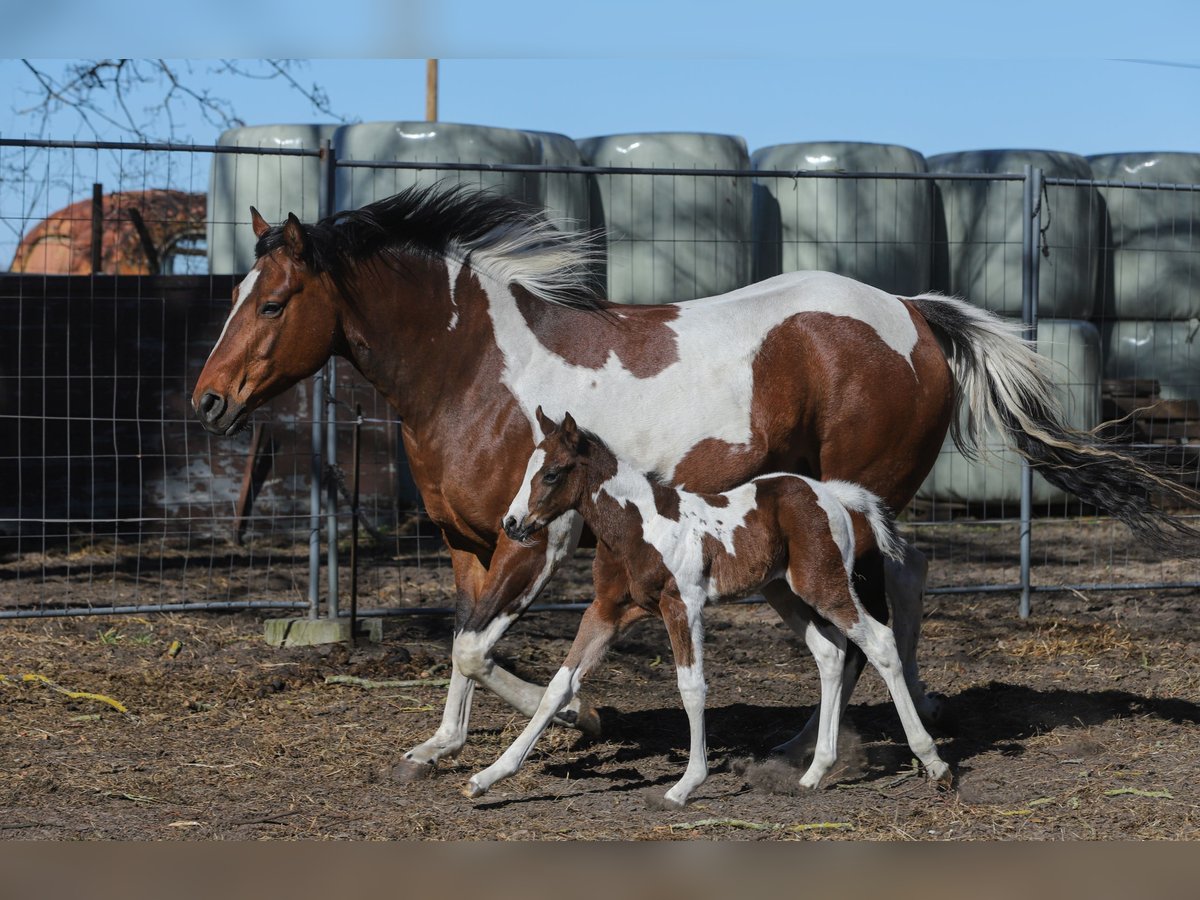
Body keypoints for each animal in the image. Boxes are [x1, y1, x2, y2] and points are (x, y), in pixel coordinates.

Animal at [467, 409, 951, 806]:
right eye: (528, 471)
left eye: (552, 474)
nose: (512, 523)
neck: (638, 526)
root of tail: (832, 495)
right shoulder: (607, 611)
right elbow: (558, 686)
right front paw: (487, 777)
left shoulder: (682, 605)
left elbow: (692, 688)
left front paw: (685, 785)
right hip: (784, 592)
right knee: (830, 654)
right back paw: (815, 772)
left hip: (824, 586)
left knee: (879, 643)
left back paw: (933, 761)